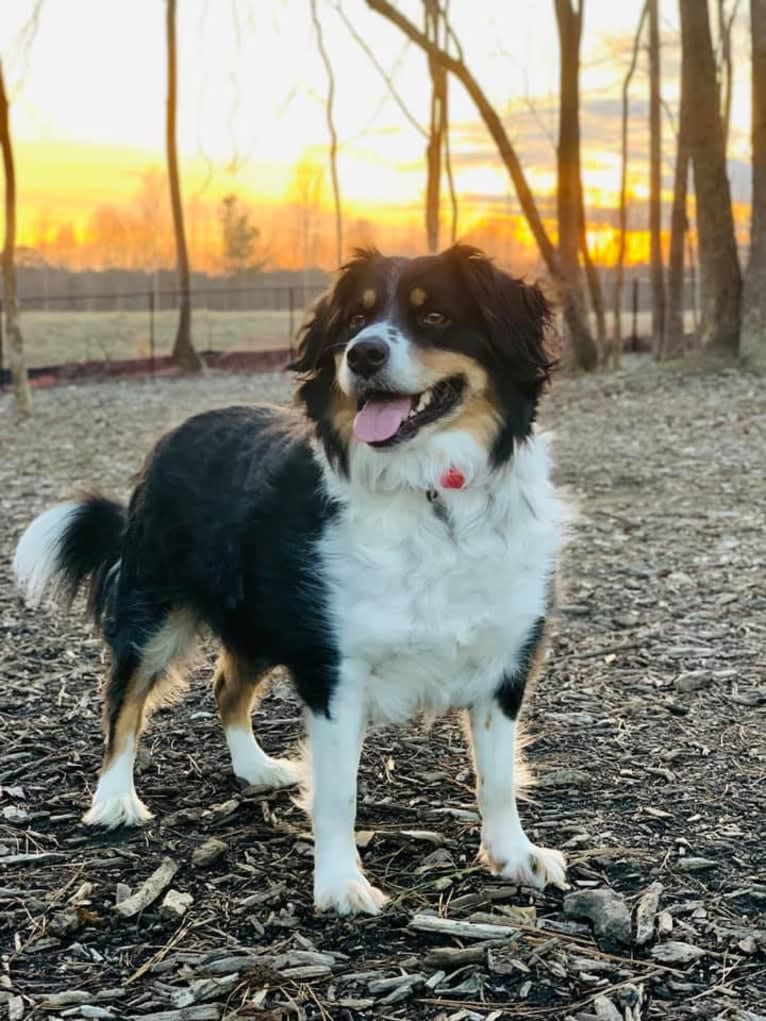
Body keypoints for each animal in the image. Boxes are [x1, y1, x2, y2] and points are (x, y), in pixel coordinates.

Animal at [13, 245, 571, 918]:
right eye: (354, 321)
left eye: (435, 316)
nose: (362, 354)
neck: (430, 491)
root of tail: (177, 432)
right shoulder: (334, 671)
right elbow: (338, 795)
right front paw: (339, 883)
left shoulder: (504, 663)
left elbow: (498, 776)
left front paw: (513, 854)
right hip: (156, 612)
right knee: (124, 702)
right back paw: (114, 798)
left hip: (260, 618)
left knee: (226, 687)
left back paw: (254, 768)